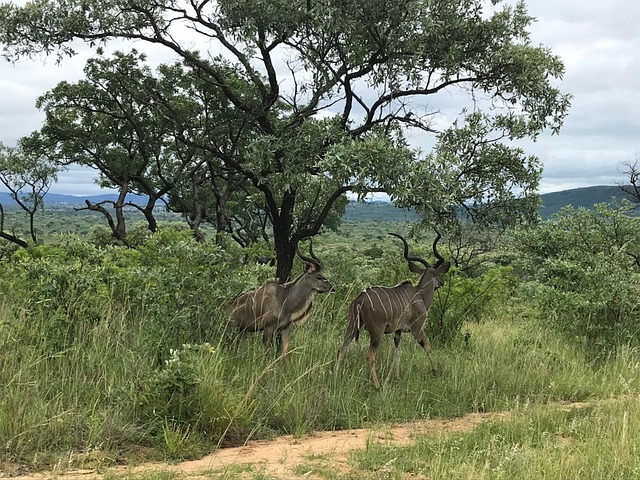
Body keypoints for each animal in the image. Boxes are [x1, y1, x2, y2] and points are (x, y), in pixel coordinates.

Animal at [336, 232, 450, 386]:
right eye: (438, 274)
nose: (442, 282)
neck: (419, 294)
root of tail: (359, 300)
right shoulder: (417, 328)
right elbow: (427, 346)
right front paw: (435, 371)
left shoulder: (398, 331)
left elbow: (398, 352)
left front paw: (397, 377)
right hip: (376, 332)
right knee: (370, 355)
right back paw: (377, 385)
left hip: (352, 326)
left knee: (341, 350)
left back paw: (336, 375)